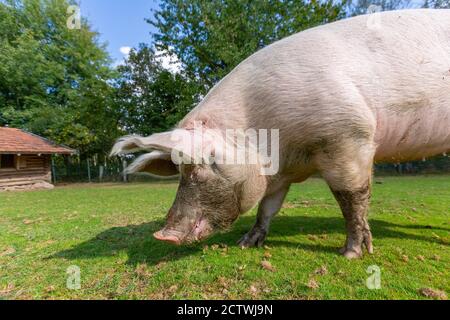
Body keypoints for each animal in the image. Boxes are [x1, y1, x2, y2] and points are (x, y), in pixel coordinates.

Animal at [111, 10, 450, 258]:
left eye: (203, 164)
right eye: (180, 169)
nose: (162, 234)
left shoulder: (350, 136)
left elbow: (352, 199)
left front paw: (352, 254)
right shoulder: (278, 175)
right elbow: (267, 207)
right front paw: (246, 244)